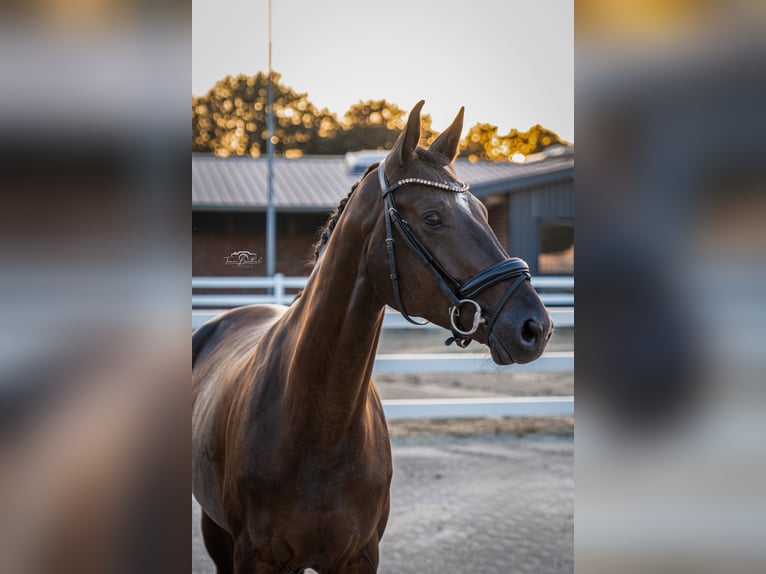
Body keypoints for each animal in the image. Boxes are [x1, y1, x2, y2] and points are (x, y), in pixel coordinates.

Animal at [191, 101, 552, 572]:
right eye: (433, 218)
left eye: (485, 213)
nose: (535, 327)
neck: (322, 425)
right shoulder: (254, 557)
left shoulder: (359, 556)